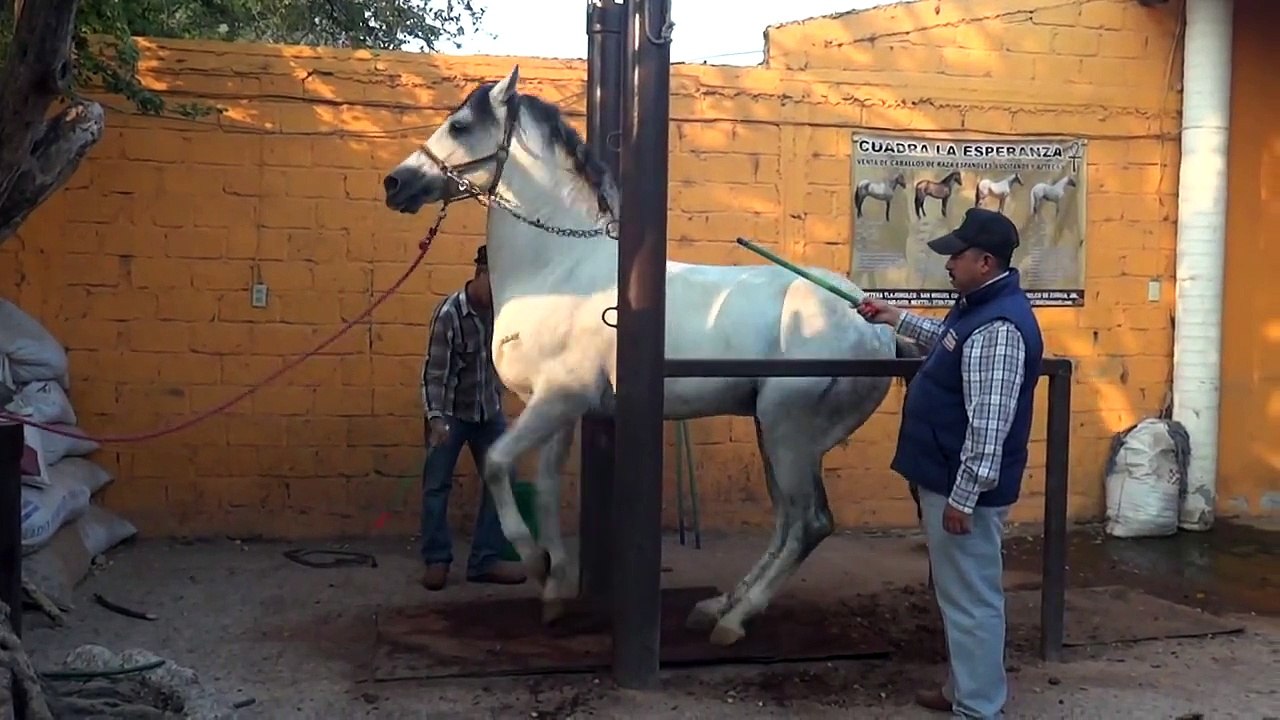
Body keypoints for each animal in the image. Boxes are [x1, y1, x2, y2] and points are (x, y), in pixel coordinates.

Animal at [381, 65, 917, 647]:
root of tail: (876, 325)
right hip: (774, 431)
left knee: (810, 522)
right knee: (786, 521)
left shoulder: (557, 400)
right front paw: (556, 592)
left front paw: (537, 565)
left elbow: (498, 463)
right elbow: (545, 489)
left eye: (459, 125)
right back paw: (718, 606)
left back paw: (733, 621)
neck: (560, 268)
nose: (395, 184)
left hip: (788, 430)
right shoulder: (559, 408)